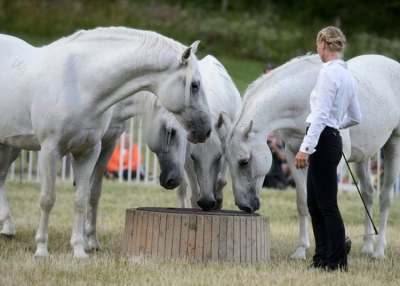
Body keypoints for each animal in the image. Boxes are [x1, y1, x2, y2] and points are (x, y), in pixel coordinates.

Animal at [0, 27, 212, 260]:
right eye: (194, 86)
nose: (206, 130)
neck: (79, 84)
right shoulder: (50, 150)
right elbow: (48, 199)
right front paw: (42, 250)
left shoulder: (93, 150)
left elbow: (85, 197)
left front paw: (81, 248)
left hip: (10, 145)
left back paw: (8, 228)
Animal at [176, 55, 241, 210]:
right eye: (194, 157)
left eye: (218, 157)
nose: (206, 202)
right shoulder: (188, 158)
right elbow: (194, 192)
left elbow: (222, 180)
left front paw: (218, 201)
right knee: (182, 188)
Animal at [217, 53, 400, 260]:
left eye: (244, 161)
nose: (244, 206)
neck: (305, 99)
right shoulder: (294, 156)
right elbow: (303, 202)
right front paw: (302, 250)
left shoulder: (335, 162)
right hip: (362, 158)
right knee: (368, 194)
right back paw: (368, 246)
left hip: (393, 145)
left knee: (385, 198)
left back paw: (379, 250)